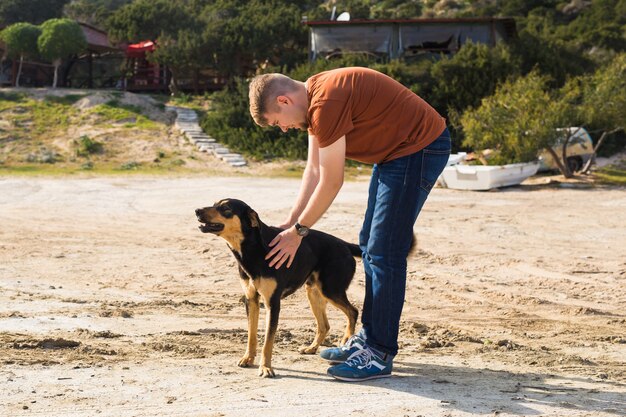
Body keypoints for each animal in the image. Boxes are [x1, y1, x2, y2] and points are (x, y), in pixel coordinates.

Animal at [195, 198, 360, 376]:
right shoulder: (251, 300)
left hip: (331, 290)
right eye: (214, 204)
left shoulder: (272, 303)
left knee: (353, 312)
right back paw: (311, 348)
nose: (197, 210)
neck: (253, 249)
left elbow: (268, 341)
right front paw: (248, 358)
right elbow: (251, 335)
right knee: (324, 325)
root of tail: (344, 245)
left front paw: (266, 368)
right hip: (314, 292)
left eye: (225, 208)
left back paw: (346, 340)